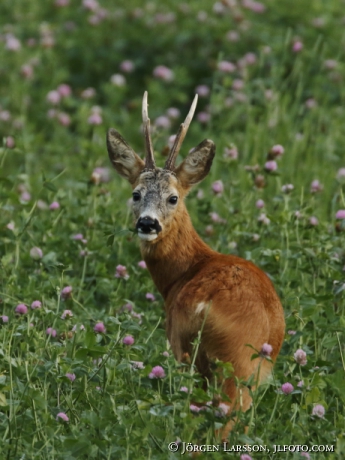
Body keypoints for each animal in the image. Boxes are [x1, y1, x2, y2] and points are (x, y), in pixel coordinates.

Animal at [106, 91, 284, 436]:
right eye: (136, 194)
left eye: (173, 197)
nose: (147, 223)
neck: (186, 272)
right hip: (249, 367)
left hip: (210, 358)